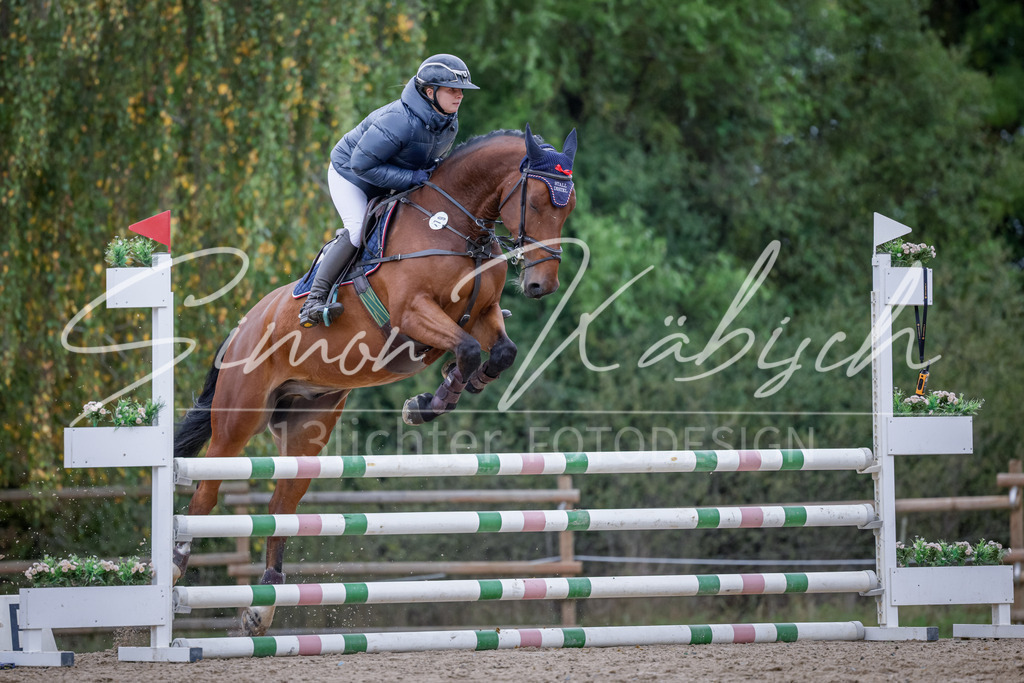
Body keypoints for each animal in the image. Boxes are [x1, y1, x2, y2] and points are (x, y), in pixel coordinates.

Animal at [172, 125, 578, 636]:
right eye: (539, 201)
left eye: (568, 205)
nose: (543, 286)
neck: (457, 230)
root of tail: (242, 326)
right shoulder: (413, 314)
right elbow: (465, 347)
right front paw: (427, 403)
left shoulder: (483, 313)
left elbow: (499, 351)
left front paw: (449, 390)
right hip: (237, 420)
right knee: (205, 493)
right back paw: (175, 567)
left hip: (308, 427)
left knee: (281, 507)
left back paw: (261, 608)